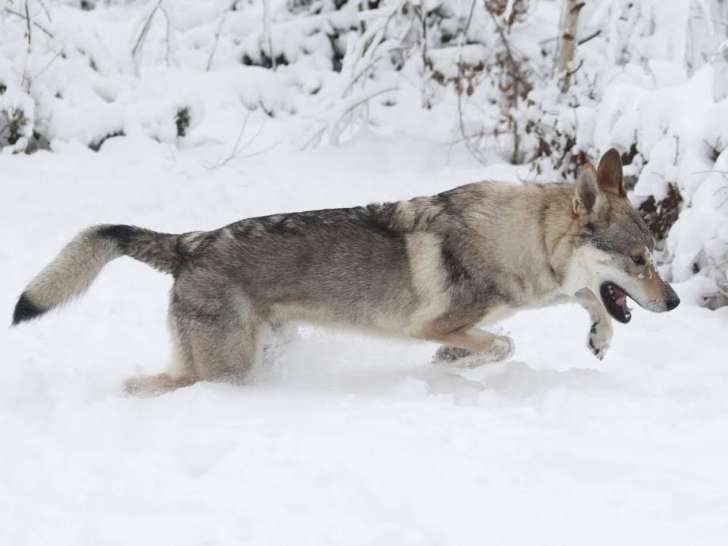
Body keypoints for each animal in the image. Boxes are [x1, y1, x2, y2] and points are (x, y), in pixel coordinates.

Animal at [12, 149, 680, 394]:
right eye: (638, 259)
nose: (674, 302)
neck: (519, 240)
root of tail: (189, 243)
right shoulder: (432, 325)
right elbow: (502, 342)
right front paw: (457, 363)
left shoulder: (545, 295)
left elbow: (586, 300)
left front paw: (598, 337)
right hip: (226, 370)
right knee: (152, 383)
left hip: (261, 351)